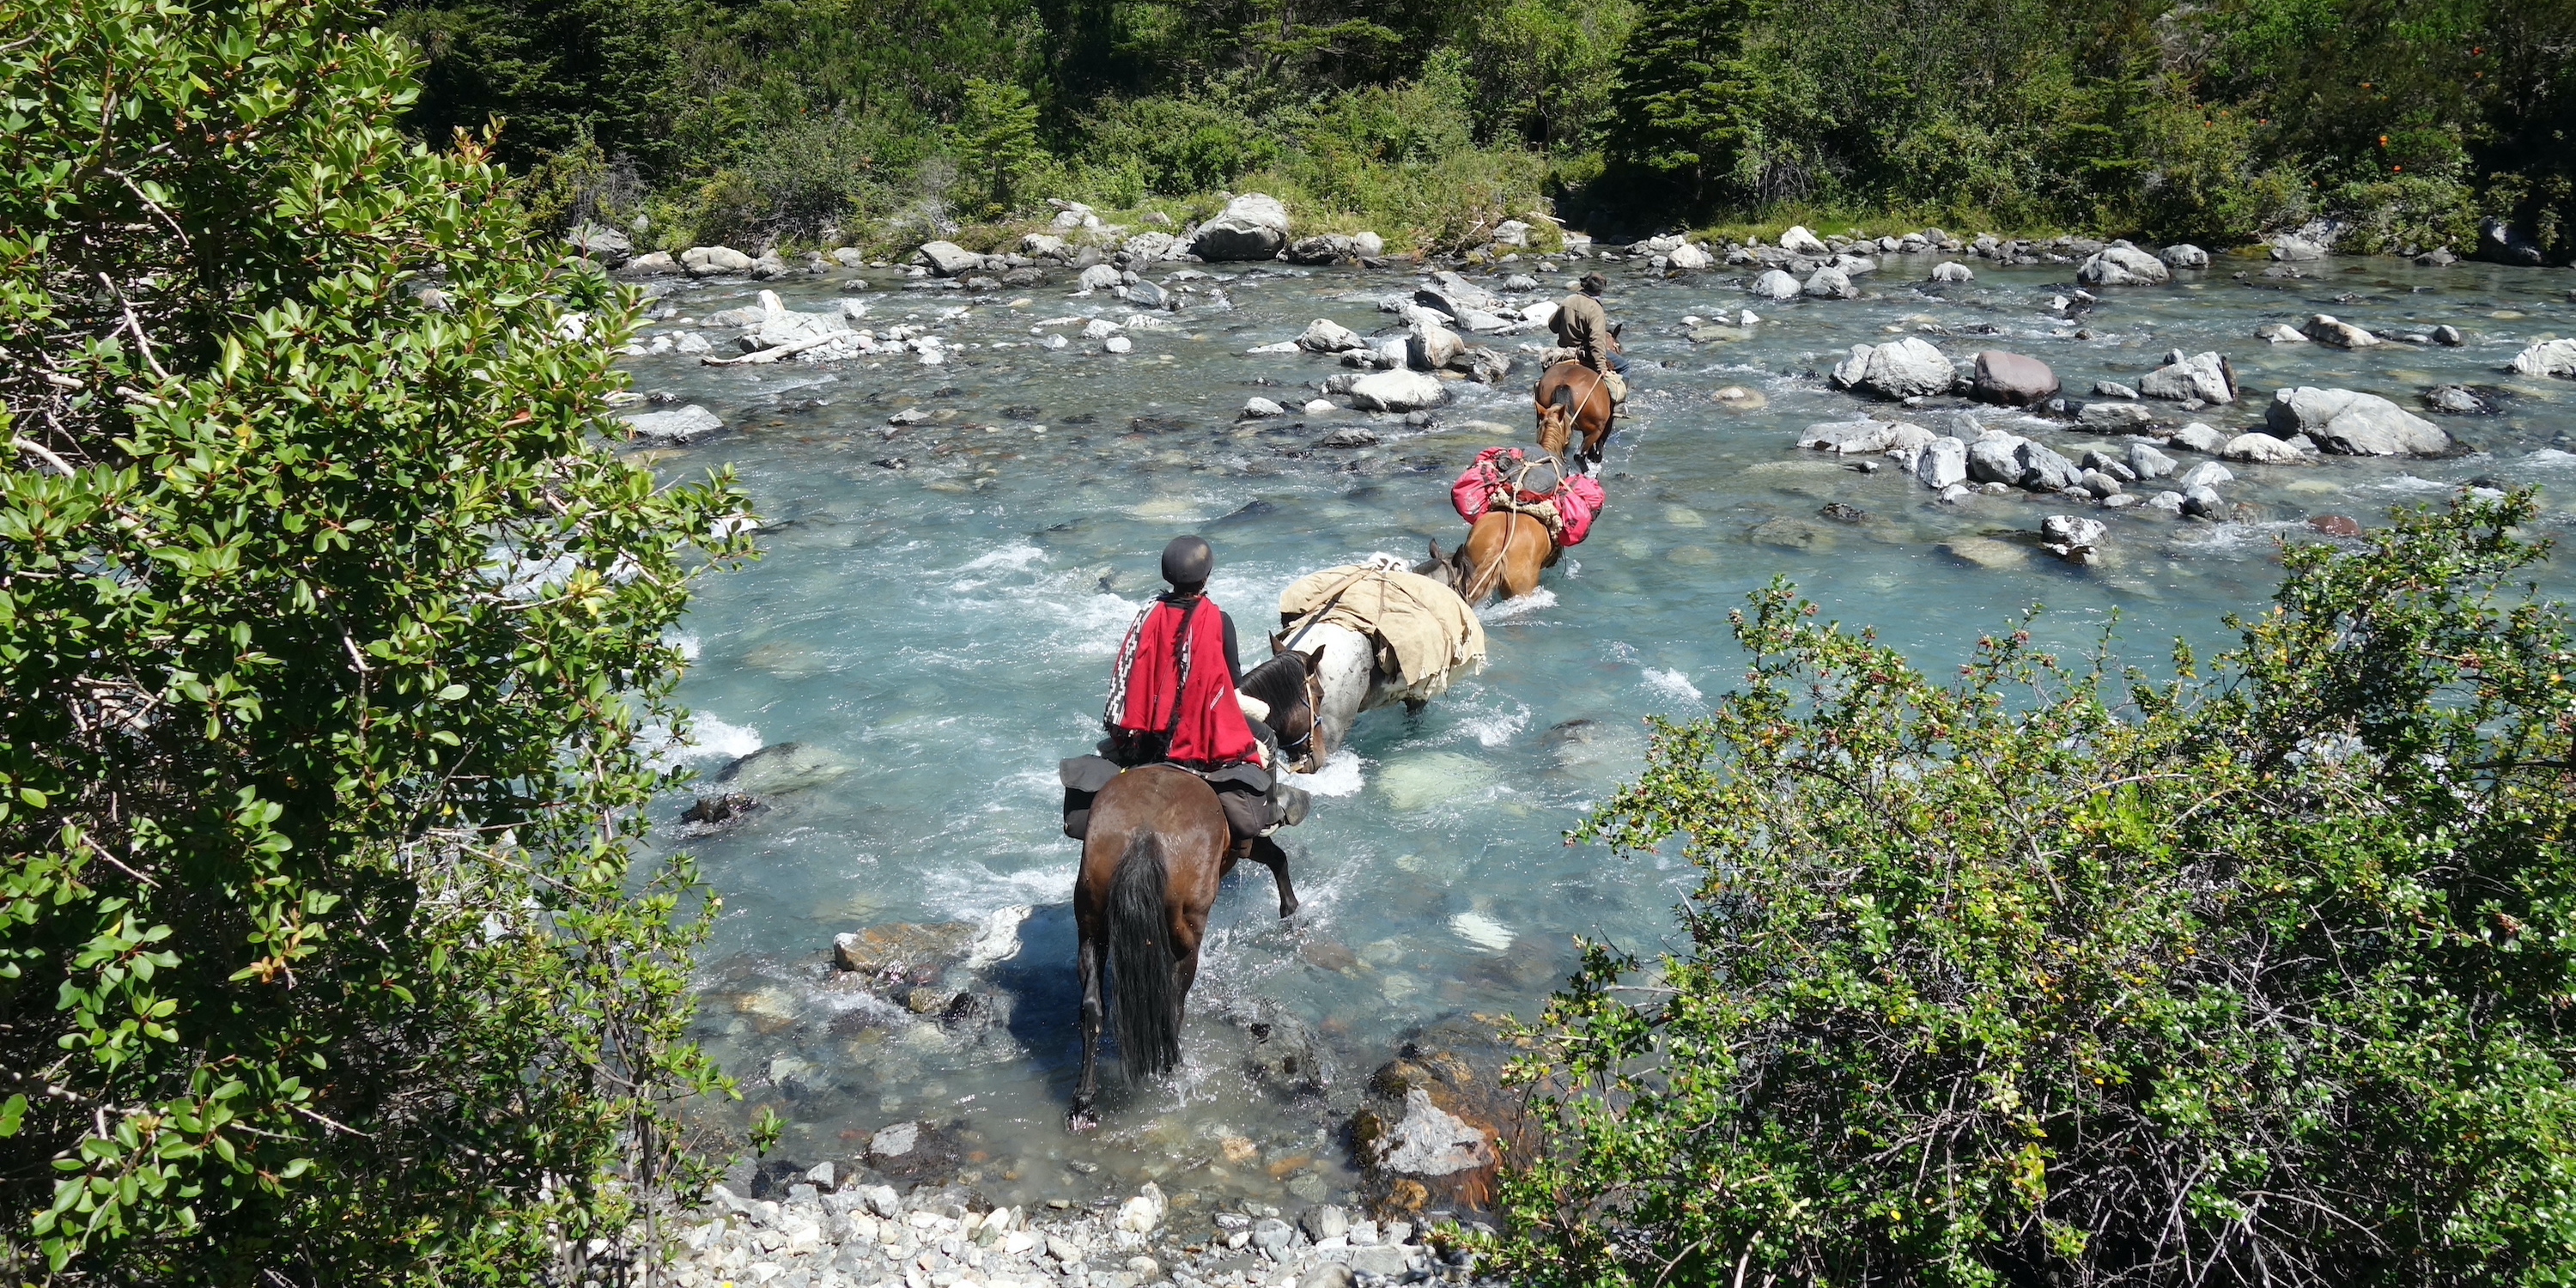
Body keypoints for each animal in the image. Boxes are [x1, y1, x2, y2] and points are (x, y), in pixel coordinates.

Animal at [1069, 649, 1317, 1131]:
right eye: (1312, 693)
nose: (1311, 752)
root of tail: (1144, 834)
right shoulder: (1247, 843)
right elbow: (1279, 858)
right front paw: (1292, 914)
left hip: (1091, 923)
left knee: (1092, 1007)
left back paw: (1084, 1100)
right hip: (1185, 932)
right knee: (1173, 1001)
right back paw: (1173, 1068)